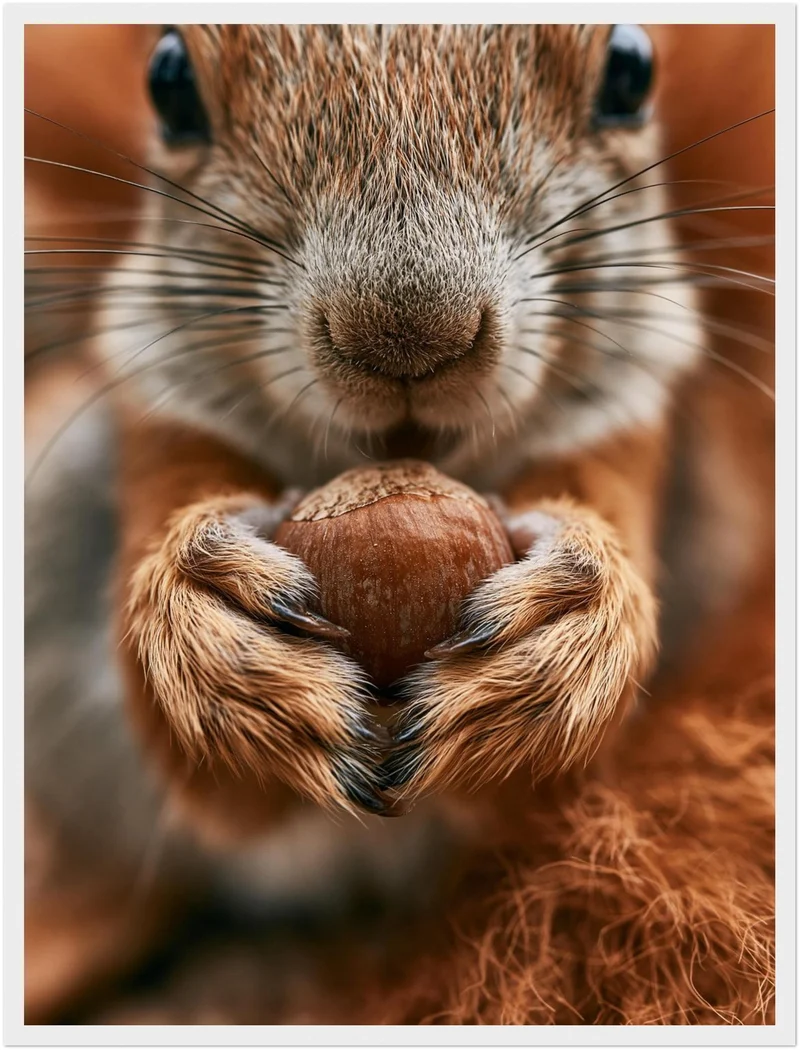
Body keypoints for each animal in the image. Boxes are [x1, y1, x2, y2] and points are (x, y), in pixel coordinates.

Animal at [24, 24, 774, 1022]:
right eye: (169, 82)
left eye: (630, 70)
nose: (408, 335)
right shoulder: (160, 423)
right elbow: (202, 767)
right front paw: (216, 637)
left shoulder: (635, 429)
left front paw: (568, 633)